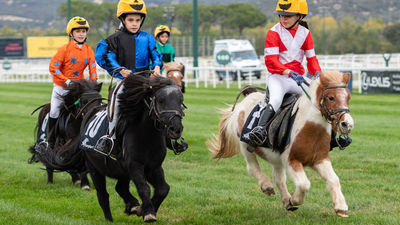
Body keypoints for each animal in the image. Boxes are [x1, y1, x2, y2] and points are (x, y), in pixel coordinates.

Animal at [208, 71, 354, 217]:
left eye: (348, 97)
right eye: (331, 97)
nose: (347, 124)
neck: (310, 128)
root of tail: (248, 96)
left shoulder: (320, 159)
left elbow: (334, 180)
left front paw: (341, 208)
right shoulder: (291, 161)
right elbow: (304, 184)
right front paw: (294, 200)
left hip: (276, 158)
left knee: (278, 178)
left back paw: (285, 200)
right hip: (245, 145)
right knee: (252, 168)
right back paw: (267, 186)